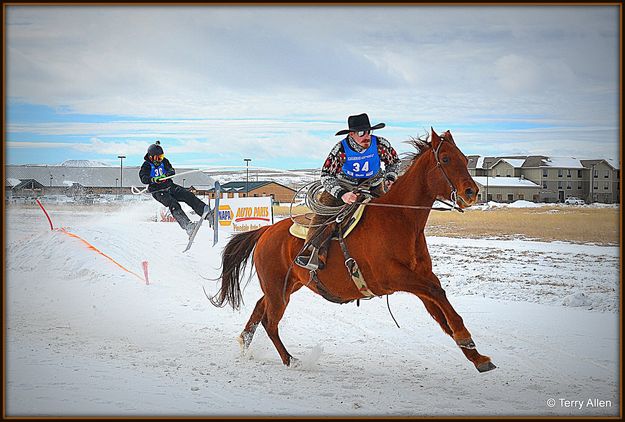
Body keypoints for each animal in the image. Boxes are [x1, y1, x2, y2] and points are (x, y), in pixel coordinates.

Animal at [210, 129, 498, 372]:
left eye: (464, 158)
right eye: (446, 159)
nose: (472, 192)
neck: (400, 220)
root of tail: (266, 232)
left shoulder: (421, 278)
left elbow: (441, 311)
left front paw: (476, 355)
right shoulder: (395, 278)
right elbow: (439, 296)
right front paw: (466, 340)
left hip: (286, 285)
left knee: (261, 308)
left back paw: (245, 343)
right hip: (278, 288)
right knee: (270, 322)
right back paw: (290, 359)